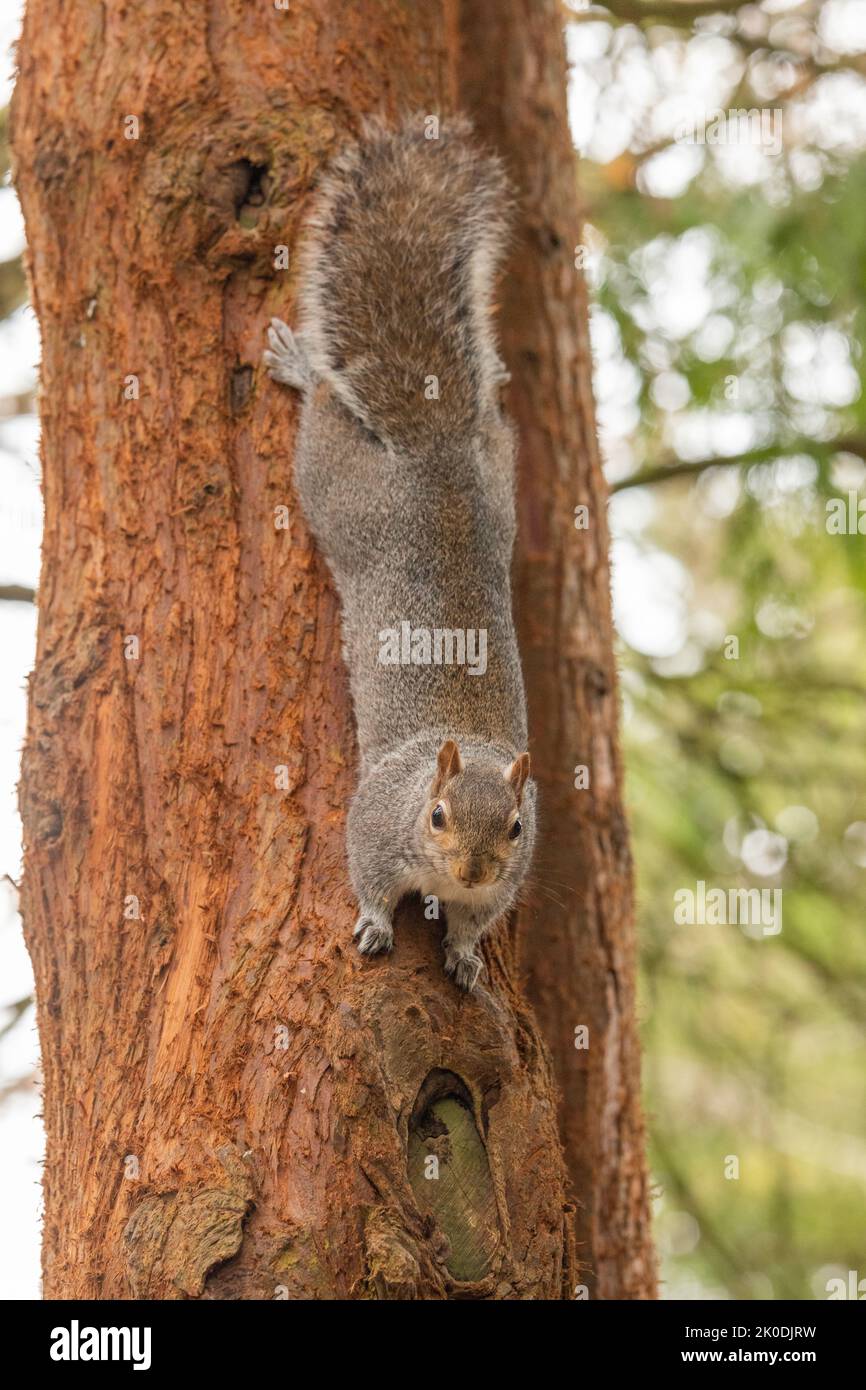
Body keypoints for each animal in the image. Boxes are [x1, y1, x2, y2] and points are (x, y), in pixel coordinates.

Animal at [263, 115, 535, 992]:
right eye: (437, 814)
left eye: (516, 828)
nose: (474, 870)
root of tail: (438, 452)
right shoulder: (375, 821)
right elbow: (368, 878)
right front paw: (379, 926)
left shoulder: (505, 887)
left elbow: (477, 925)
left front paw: (464, 954)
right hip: (338, 492)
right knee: (322, 409)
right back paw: (300, 366)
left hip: (499, 472)